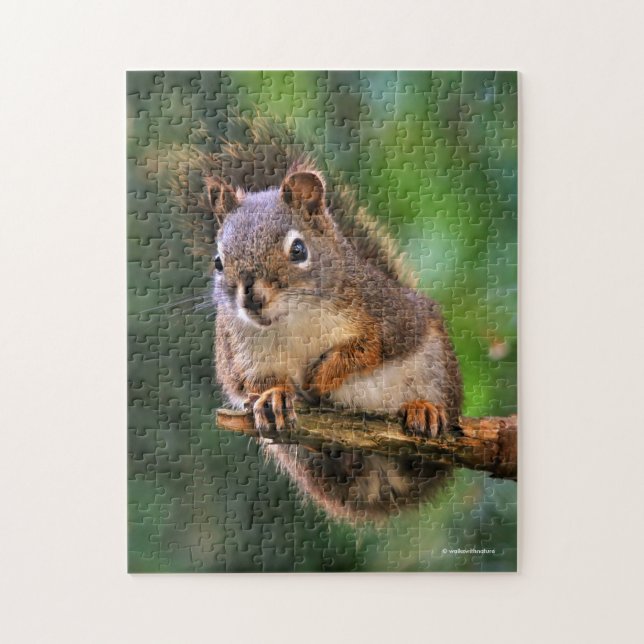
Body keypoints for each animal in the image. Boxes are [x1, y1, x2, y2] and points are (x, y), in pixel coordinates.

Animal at [173, 117, 463, 436]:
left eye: (298, 250)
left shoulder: (388, 312)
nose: (251, 299)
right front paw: (273, 395)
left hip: (436, 365)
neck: (294, 320)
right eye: (218, 262)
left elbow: (370, 348)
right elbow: (249, 382)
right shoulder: (238, 352)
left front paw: (323, 376)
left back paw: (424, 409)